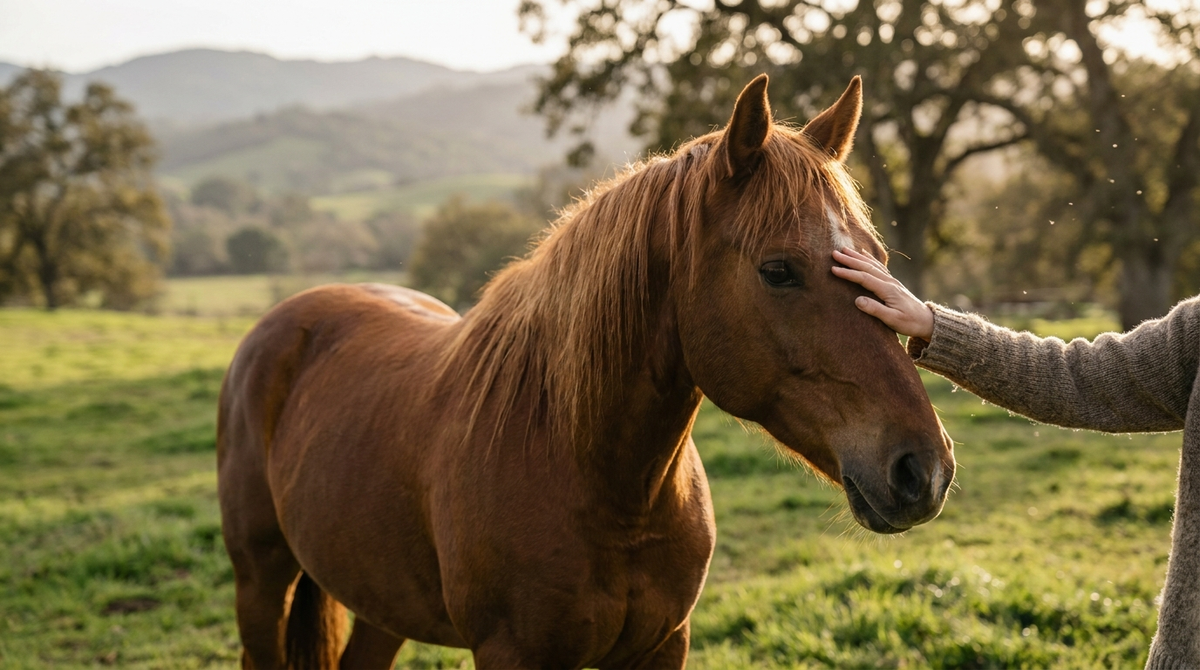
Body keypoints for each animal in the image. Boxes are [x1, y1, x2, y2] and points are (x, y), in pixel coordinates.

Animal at [217, 74, 955, 670]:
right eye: (778, 270)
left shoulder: (663, 646)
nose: (923, 469)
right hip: (261, 583)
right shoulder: (512, 653)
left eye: (875, 258)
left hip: (380, 597)